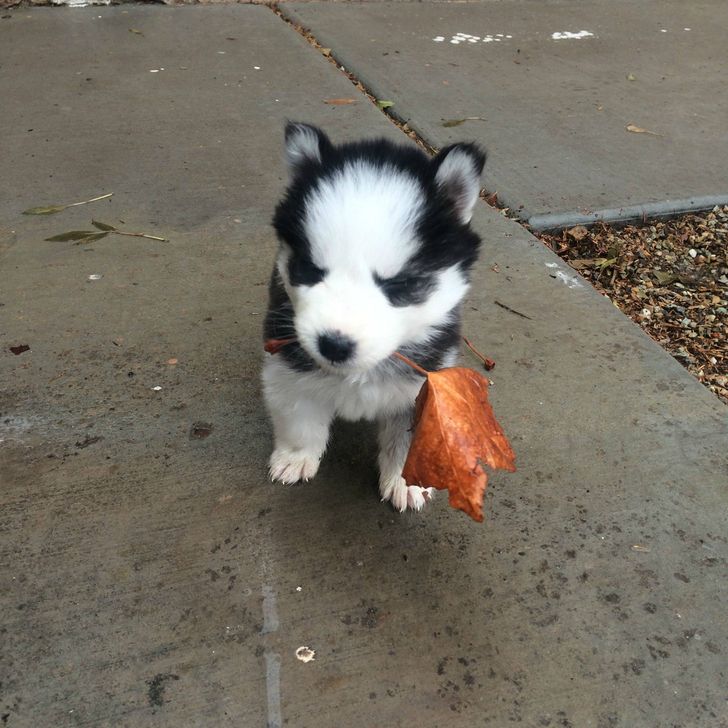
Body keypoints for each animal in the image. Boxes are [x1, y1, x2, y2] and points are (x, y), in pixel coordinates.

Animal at [262, 122, 484, 512]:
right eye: (310, 269)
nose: (334, 345)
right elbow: (300, 418)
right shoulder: (287, 365)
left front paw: (407, 481)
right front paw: (296, 456)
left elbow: (408, 441)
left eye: (400, 284)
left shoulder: (423, 386)